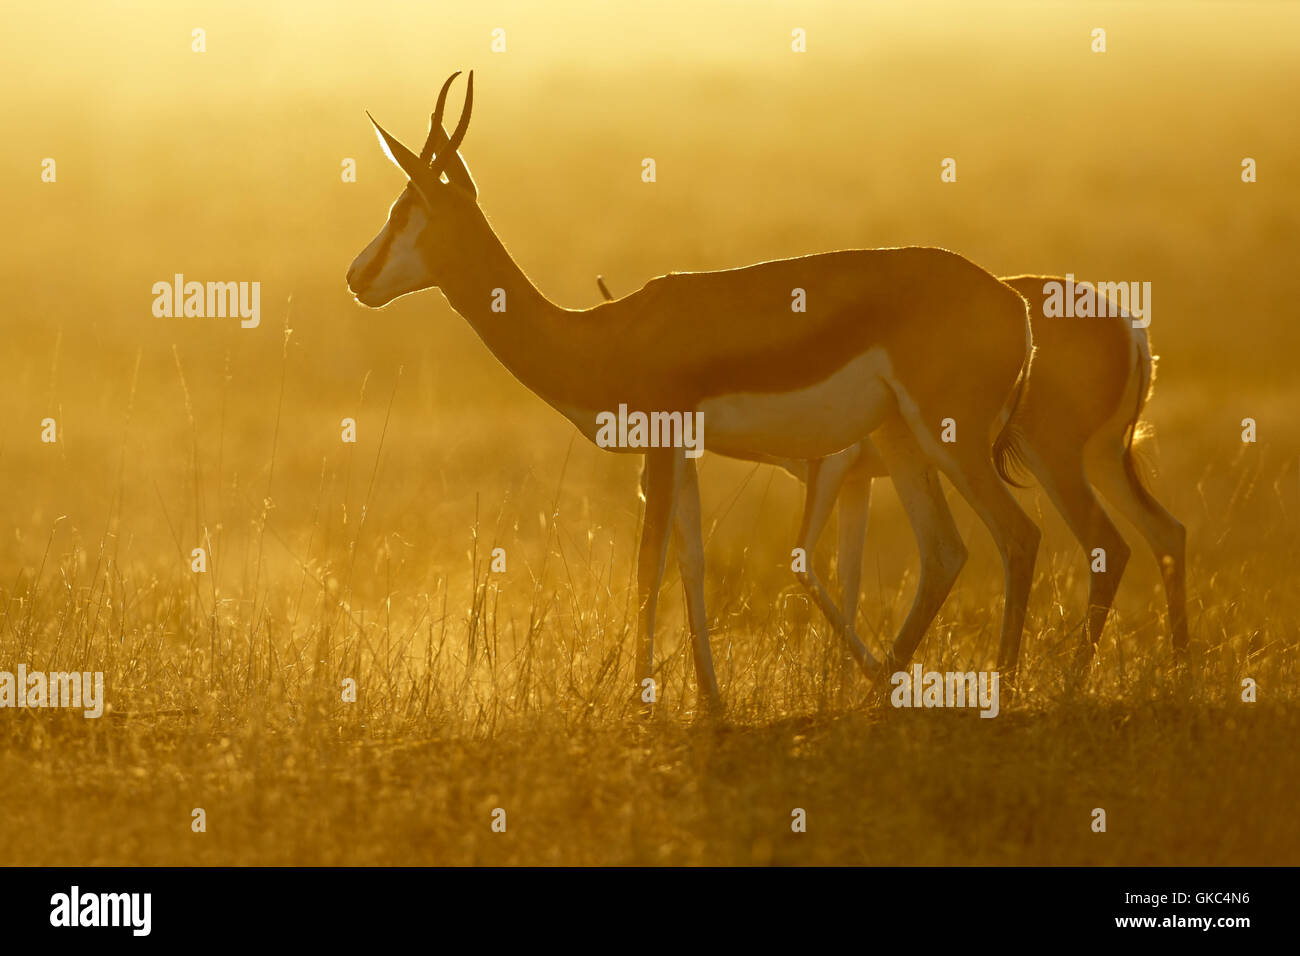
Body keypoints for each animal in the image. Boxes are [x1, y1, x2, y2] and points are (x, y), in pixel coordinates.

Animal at [345, 72, 1034, 712]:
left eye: (403, 211)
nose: (357, 277)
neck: (602, 334)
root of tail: (1016, 302)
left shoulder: (660, 444)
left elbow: (648, 564)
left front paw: (641, 700)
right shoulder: (686, 455)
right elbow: (692, 562)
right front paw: (710, 700)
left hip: (948, 440)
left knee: (1017, 537)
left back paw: (995, 689)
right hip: (900, 440)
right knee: (946, 553)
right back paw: (879, 692)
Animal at [598, 273, 1190, 671]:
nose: (645, 484)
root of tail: (1129, 328)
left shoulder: (831, 470)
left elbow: (815, 567)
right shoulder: (857, 484)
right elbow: (849, 576)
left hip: (1055, 463)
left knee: (1102, 544)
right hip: (1102, 463)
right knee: (1166, 533)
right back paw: (1178, 673)